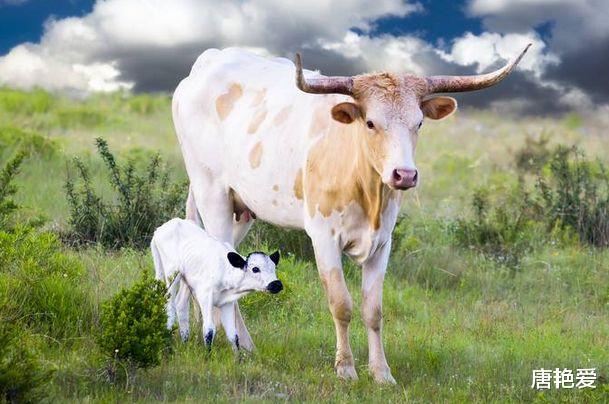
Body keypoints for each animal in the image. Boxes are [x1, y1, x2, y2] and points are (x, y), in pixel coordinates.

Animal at [150, 216, 280, 352]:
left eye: (274, 267)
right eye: (255, 269)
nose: (277, 284)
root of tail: (164, 227)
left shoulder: (227, 303)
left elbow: (233, 335)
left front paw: (238, 357)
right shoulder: (204, 297)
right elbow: (209, 331)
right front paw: (208, 355)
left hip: (185, 278)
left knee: (180, 304)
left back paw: (185, 342)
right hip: (172, 273)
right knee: (169, 304)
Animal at [171, 45, 528, 384]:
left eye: (419, 123)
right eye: (370, 123)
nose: (405, 175)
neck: (366, 187)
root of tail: (208, 61)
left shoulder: (383, 242)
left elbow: (374, 309)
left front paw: (382, 373)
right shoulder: (323, 238)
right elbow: (341, 304)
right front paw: (345, 369)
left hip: (242, 210)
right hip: (212, 195)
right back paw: (240, 345)